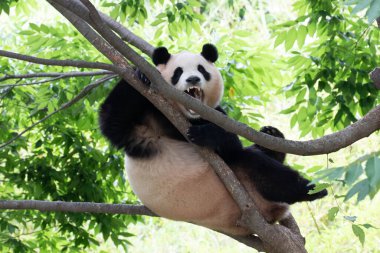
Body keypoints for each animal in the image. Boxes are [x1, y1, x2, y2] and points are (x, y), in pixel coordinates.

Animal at [98, 43, 326, 235]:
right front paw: (141, 74)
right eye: (178, 72)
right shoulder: (146, 124)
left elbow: (229, 141)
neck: (186, 114)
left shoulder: (215, 114)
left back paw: (274, 137)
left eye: (201, 70)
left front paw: (205, 134)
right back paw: (310, 189)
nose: (193, 79)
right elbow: (112, 121)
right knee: (254, 165)